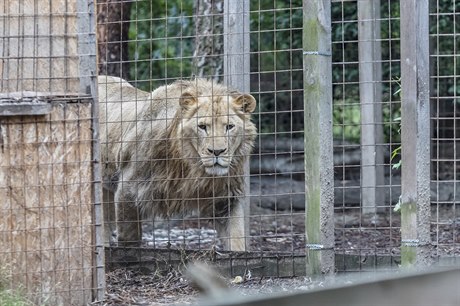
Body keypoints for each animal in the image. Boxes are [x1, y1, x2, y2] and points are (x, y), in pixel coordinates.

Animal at [98, 74, 256, 251]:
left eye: (229, 126)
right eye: (202, 126)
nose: (217, 151)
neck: (190, 168)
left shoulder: (225, 200)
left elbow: (237, 240)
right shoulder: (128, 191)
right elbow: (129, 240)